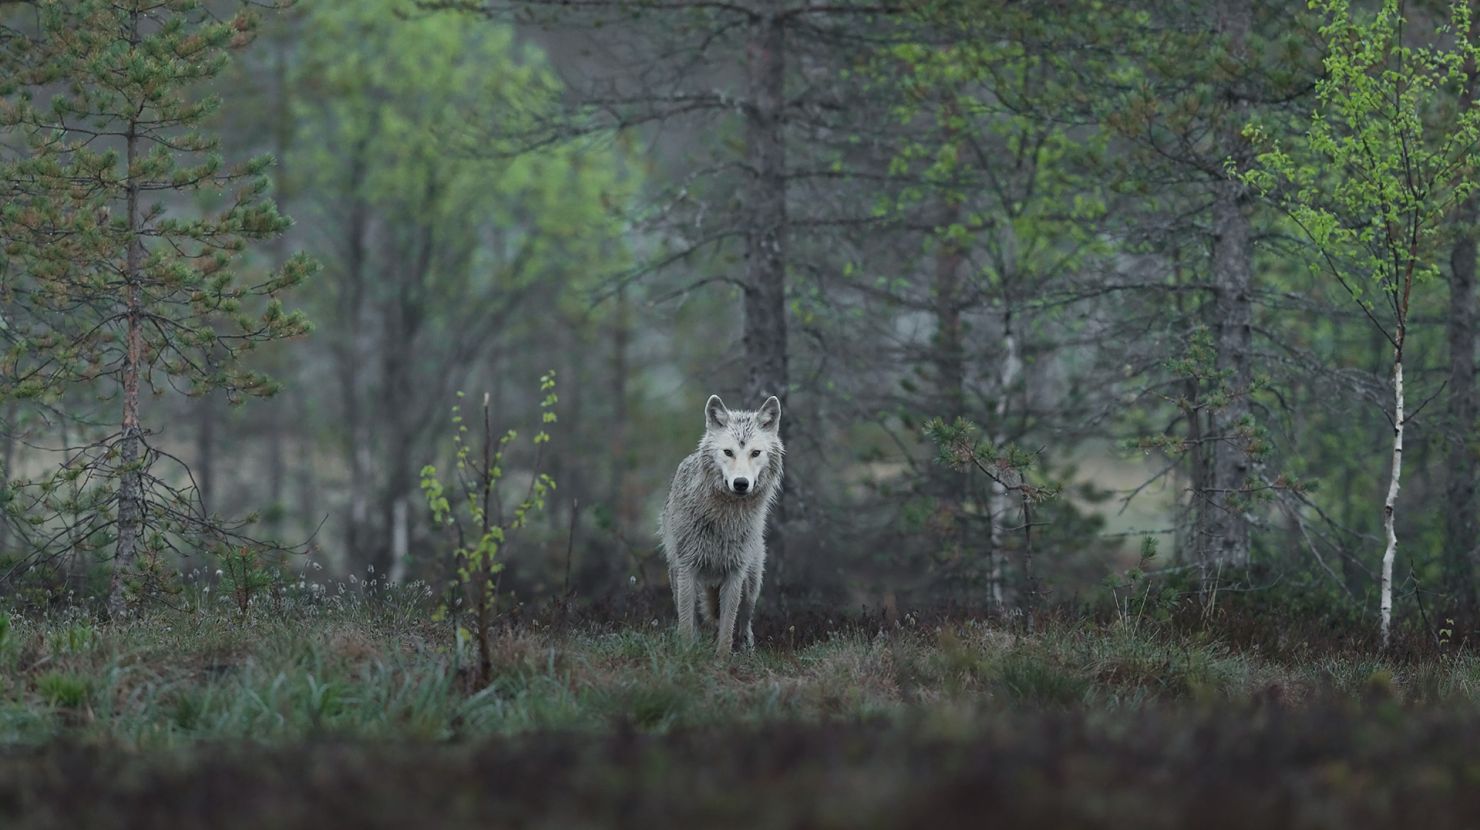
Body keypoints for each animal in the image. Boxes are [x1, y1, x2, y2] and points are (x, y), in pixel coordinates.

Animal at [660, 394, 784, 655]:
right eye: (728, 452)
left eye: (755, 453)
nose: (741, 483)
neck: (725, 519)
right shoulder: (688, 569)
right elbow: (687, 624)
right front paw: (686, 654)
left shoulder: (735, 573)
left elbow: (727, 627)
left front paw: (722, 658)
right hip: (677, 577)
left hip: (751, 585)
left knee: (744, 622)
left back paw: (747, 650)